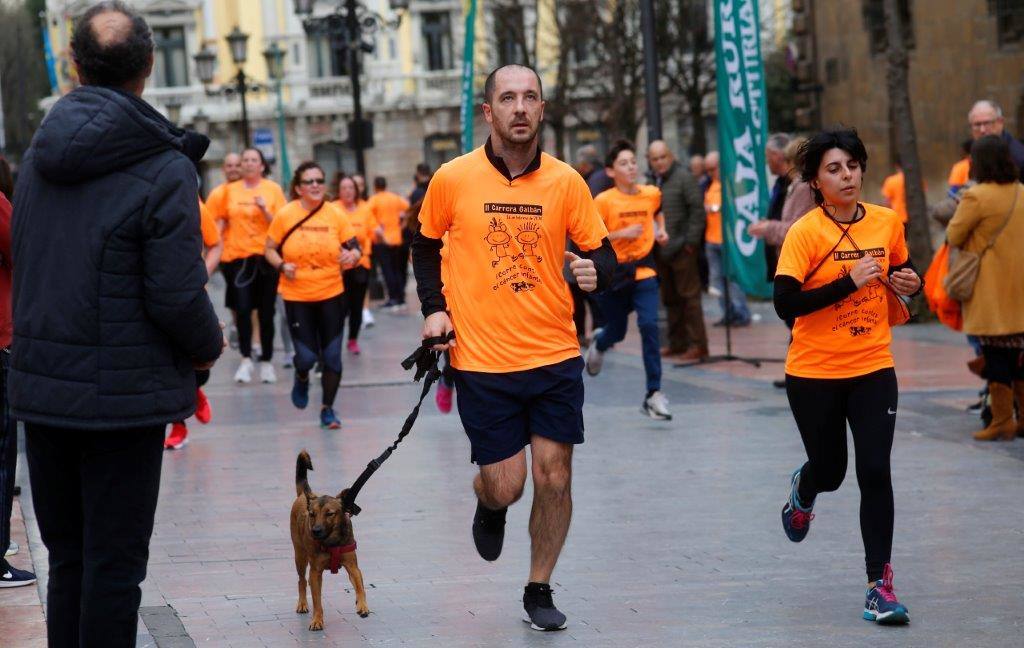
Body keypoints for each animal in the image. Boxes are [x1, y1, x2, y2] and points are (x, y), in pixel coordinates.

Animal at [288, 450, 368, 626]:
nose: (316, 531)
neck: (332, 542)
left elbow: (360, 587)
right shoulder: (315, 572)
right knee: (302, 580)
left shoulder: (353, 567)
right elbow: (317, 600)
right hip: (300, 556)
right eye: (312, 514)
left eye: (330, 514)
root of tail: (305, 495)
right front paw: (317, 620)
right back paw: (302, 603)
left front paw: (362, 605)